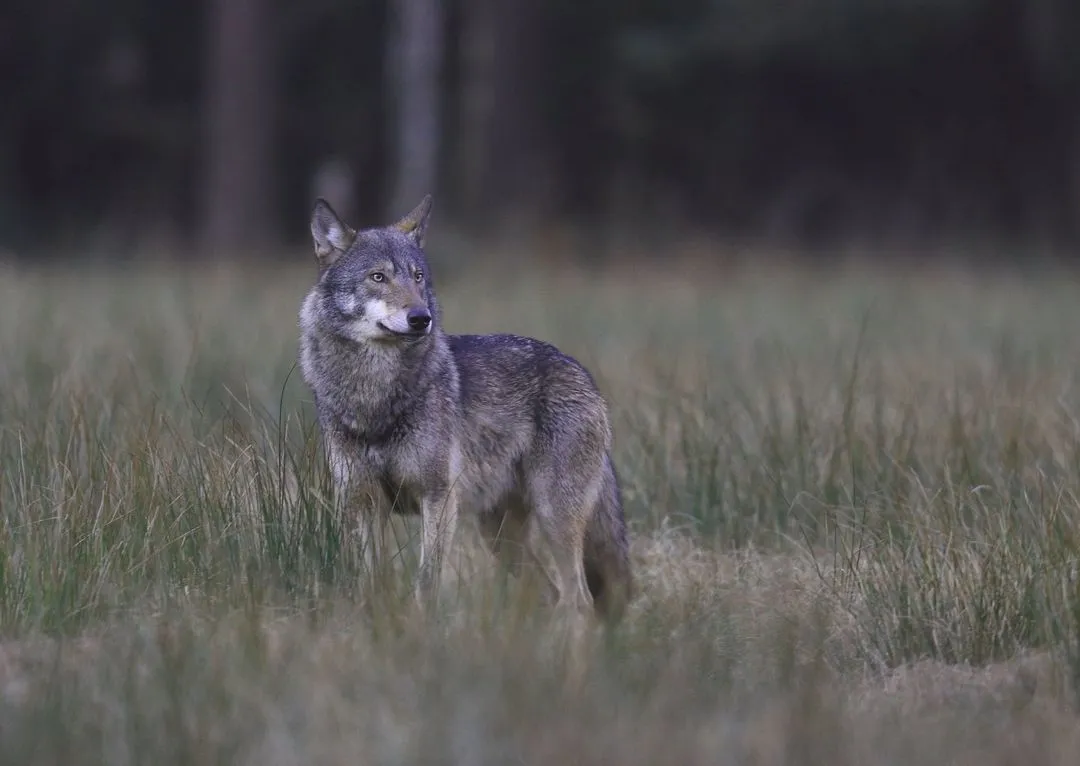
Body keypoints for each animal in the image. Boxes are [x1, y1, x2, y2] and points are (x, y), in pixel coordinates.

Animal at [295, 194, 630, 617]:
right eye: (378, 277)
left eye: (418, 277)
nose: (421, 318)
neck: (373, 396)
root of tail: (582, 372)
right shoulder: (361, 502)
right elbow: (369, 583)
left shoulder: (438, 497)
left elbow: (426, 583)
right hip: (501, 537)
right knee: (551, 594)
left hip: (554, 517)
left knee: (578, 600)